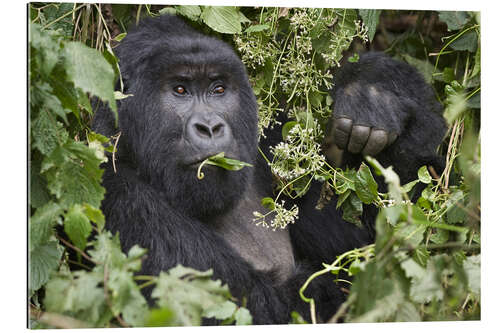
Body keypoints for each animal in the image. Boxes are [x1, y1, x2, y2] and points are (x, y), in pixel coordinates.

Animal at [92, 14, 448, 322]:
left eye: (218, 89)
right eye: (179, 89)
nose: (210, 127)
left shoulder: (272, 151)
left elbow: (379, 245)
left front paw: (378, 90)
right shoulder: (124, 201)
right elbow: (275, 306)